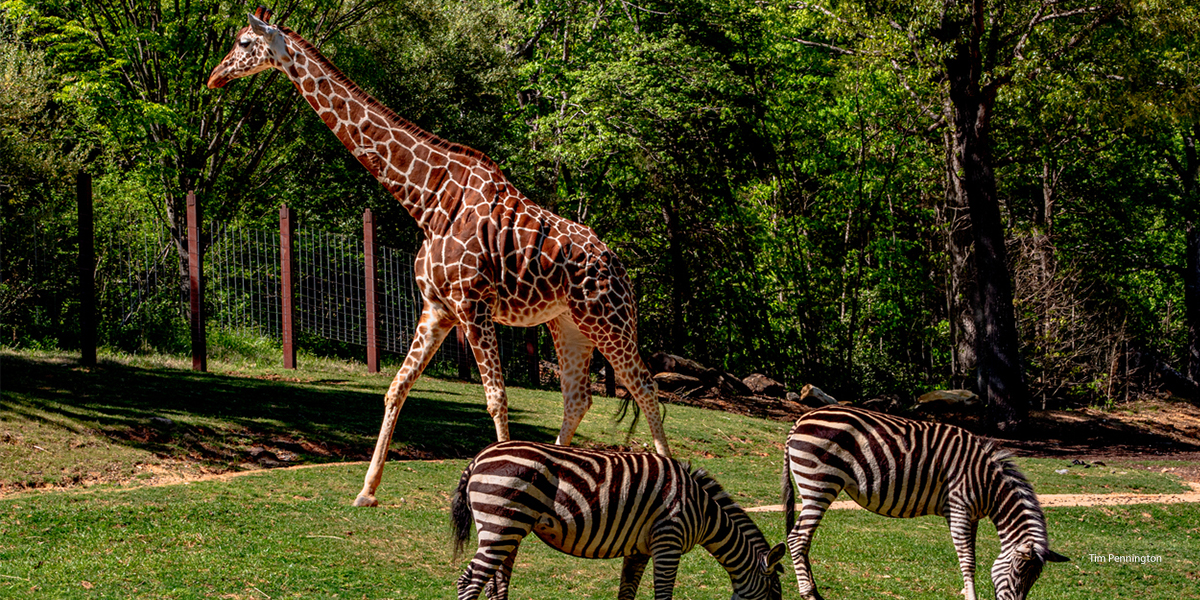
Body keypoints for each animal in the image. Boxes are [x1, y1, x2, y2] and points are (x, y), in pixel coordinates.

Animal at [210, 9, 672, 506]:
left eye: (242, 42)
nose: (215, 76)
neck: (428, 200)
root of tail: (620, 267)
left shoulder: (473, 304)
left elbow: (496, 398)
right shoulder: (437, 309)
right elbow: (396, 387)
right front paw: (366, 491)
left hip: (608, 318)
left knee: (645, 386)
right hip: (568, 324)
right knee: (578, 397)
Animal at [451, 441, 787, 600]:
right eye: (774, 592)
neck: (702, 510)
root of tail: (477, 459)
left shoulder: (639, 550)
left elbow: (627, 593)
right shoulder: (668, 541)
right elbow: (663, 594)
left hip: (511, 529)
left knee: (496, 584)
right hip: (500, 527)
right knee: (469, 581)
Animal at [777, 405, 1070, 600]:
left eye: (1034, 580)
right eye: (1018, 572)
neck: (988, 484)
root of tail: (800, 420)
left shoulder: (972, 516)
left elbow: (970, 556)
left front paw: (965, 589)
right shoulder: (959, 507)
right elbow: (968, 558)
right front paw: (970, 596)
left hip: (814, 487)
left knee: (801, 539)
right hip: (819, 484)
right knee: (797, 538)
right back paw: (809, 594)